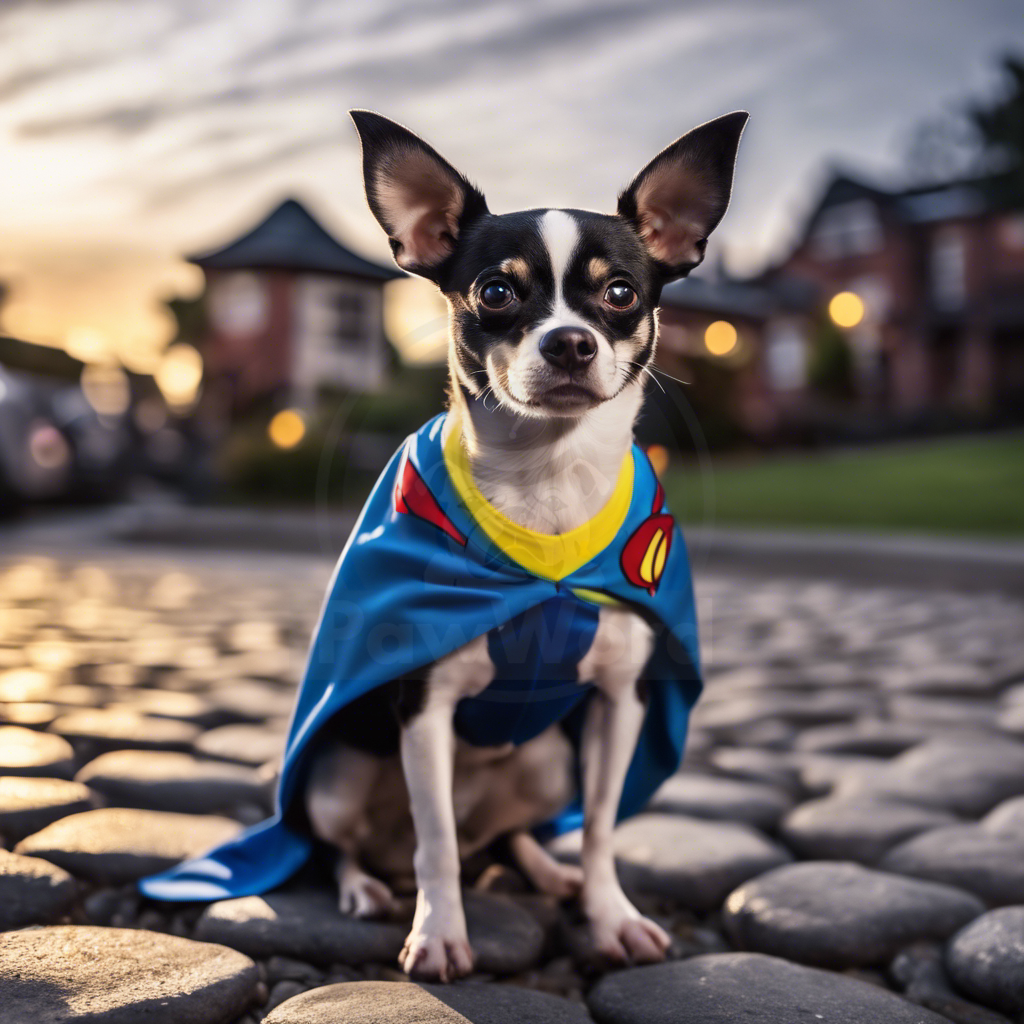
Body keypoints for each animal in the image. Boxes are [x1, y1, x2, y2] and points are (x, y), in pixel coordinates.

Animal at [303, 108, 745, 978]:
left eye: (620, 293)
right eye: (496, 292)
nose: (570, 341)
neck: (547, 484)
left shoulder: (619, 702)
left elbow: (603, 828)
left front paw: (609, 915)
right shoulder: (425, 710)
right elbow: (436, 843)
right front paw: (441, 933)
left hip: (545, 764)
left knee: (505, 836)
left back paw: (550, 873)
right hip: (334, 776)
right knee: (362, 844)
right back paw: (365, 888)